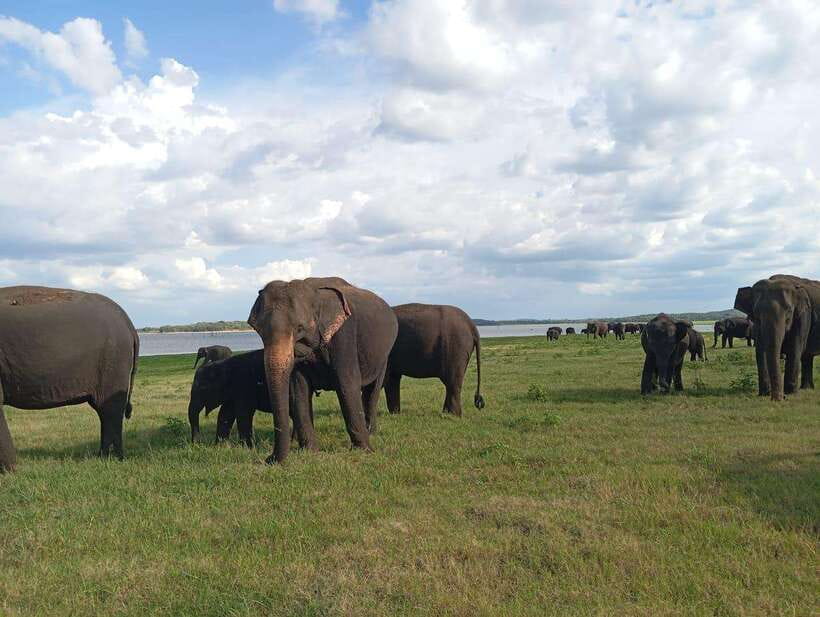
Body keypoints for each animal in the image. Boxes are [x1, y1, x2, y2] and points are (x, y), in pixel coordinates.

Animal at [0, 286, 139, 471]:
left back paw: (113, 459)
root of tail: (129, 323)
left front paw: (10, 472)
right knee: (104, 410)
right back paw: (103, 457)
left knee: (109, 409)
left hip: (114, 361)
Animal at [247, 277, 397, 463]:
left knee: (372, 390)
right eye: (257, 330)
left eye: (299, 328)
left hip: (384, 354)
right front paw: (310, 452)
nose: (269, 459)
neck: (315, 293)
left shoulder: (344, 335)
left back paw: (371, 432)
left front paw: (364, 451)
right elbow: (298, 391)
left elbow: (347, 385)